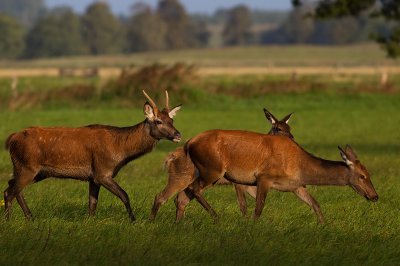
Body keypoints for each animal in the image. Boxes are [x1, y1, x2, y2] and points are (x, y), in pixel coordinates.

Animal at [2, 90, 181, 221]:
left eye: (172, 121)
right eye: (158, 121)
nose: (178, 134)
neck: (120, 149)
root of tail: (11, 139)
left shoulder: (93, 177)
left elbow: (92, 203)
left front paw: (90, 221)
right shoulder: (103, 171)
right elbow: (124, 195)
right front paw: (133, 220)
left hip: (36, 171)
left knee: (11, 186)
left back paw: (30, 217)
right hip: (27, 166)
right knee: (9, 192)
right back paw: (9, 220)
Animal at [179, 132, 378, 223]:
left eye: (368, 173)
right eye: (362, 176)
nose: (375, 196)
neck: (300, 166)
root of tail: (189, 143)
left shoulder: (296, 186)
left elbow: (315, 204)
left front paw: (324, 226)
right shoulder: (264, 177)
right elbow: (258, 208)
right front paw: (252, 227)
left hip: (206, 172)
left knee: (182, 195)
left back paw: (178, 224)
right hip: (212, 169)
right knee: (193, 189)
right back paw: (216, 217)